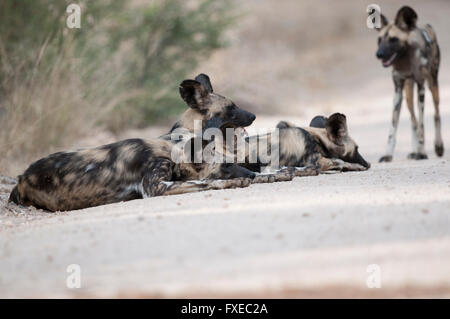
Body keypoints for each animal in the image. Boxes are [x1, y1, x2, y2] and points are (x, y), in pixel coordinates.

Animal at [8, 73, 258, 211]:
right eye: (231, 108)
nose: (254, 116)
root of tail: (21, 178)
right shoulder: (156, 187)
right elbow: (206, 182)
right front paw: (234, 182)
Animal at [372, 6, 442, 162]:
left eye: (393, 39)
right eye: (379, 40)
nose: (379, 54)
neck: (405, 61)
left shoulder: (421, 87)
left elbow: (422, 124)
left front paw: (422, 152)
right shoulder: (398, 91)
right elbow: (394, 127)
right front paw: (388, 155)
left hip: (432, 85)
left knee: (435, 113)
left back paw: (438, 147)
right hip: (408, 93)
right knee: (412, 119)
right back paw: (414, 151)